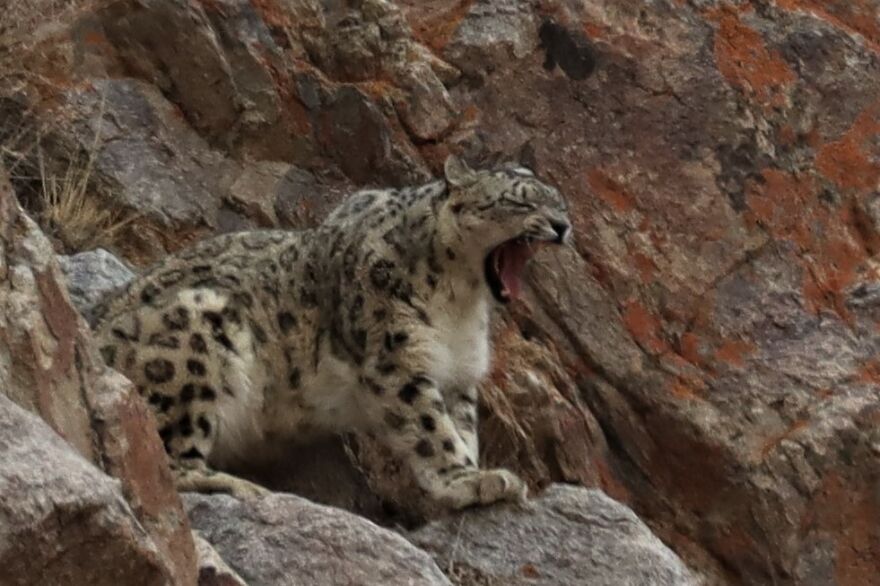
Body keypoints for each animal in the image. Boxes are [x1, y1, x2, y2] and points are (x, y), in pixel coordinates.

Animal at [91, 155, 572, 509]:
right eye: (521, 203)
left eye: (560, 204)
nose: (563, 226)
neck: (462, 302)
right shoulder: (395, 356)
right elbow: (430, 427)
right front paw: (469, 480)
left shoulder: (459, 373)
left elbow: (461, 426)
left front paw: (470, 470)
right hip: (193, 337)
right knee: (166, 458)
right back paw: (238, 486)